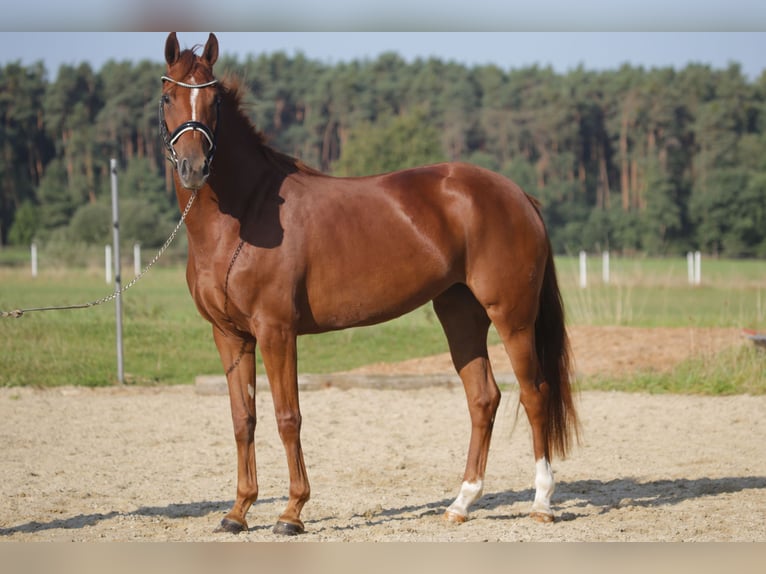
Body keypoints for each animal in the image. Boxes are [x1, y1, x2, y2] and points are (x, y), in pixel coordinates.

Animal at [164, 30, 584, 536]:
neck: (245, 216)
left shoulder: (276, 332)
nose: (193, 167)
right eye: (167, 97)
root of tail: (517, 194)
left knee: (535, 394)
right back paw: (461, 503)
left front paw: (291, 513)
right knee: (483, 398)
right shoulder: (229, 335)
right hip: (460, 315)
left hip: (513, 317)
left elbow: (288, 417)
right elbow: (243, 419)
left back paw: (542, 501)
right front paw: (238, 512)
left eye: (213, 101)